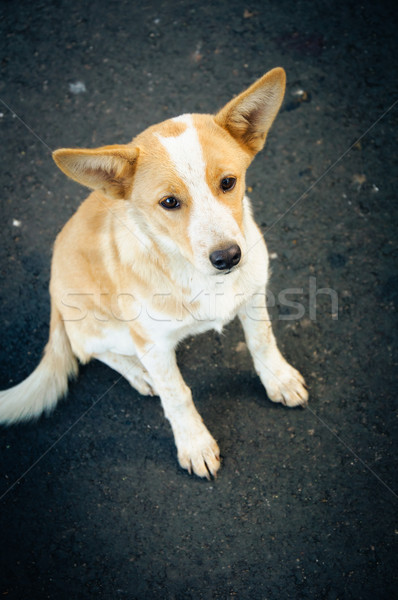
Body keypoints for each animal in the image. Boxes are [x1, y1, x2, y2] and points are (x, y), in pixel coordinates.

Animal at [0, 67, 308, 478]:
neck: (195, 274)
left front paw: (279, 378)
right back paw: (140, 373)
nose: (228, 257)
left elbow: (262, 341)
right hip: (109, 328)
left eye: (228, 182)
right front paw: (194, 444)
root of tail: (52, 286)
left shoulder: (254, 295)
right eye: (169, 202)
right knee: (89, 351)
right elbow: (177, 394)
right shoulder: (153, 343)